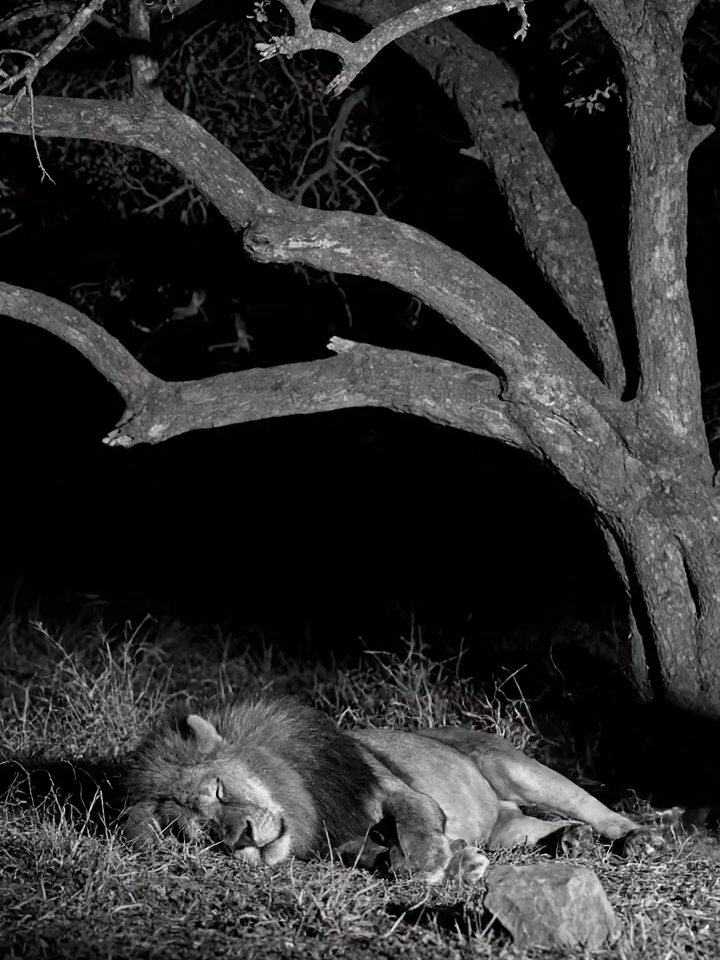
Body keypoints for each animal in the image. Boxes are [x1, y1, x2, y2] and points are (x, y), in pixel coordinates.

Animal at [124, 695, 647, 884]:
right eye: (206, 834)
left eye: (217, 791)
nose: (242, 838)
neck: (307, 804)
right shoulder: (341, 843)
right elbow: (382, 859)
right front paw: (459, 861)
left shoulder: (394, 791)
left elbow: (413, 828)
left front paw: (434, 860)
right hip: (506, 826)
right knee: (537, 826)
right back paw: (569, 840)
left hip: (517, 766)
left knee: (592, 806)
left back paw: (639, 838)